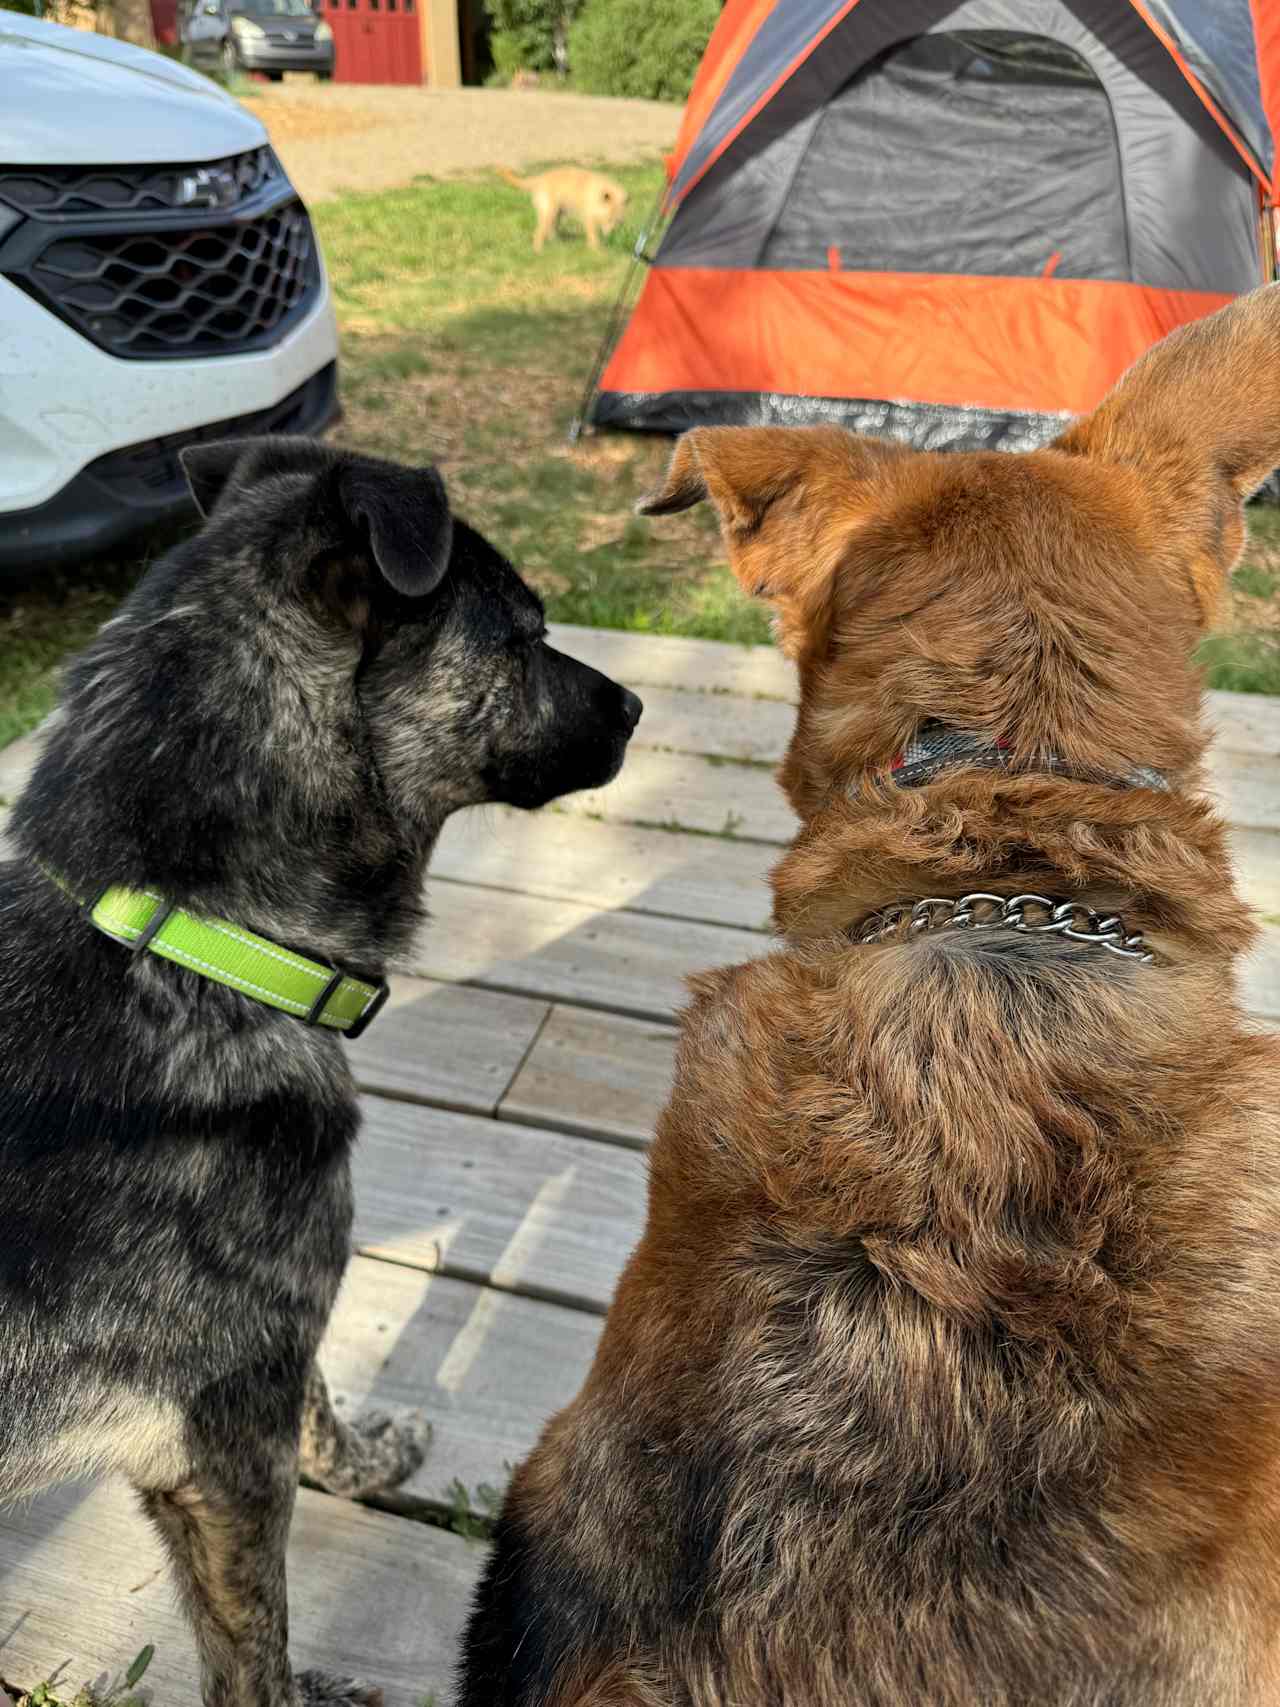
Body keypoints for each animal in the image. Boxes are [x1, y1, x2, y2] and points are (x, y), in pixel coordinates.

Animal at [0, 433, 641, 1700]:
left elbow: (323, 1405)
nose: (640, 703)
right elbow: (255, 1645)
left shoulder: (262, 1370)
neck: (185, 947)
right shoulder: (224, 1451)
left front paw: (375, 1457)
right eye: (524, 633)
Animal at [498, 168, 628, 254]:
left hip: (556, 214)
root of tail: (538, 179)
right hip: (549, 212)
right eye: (608, 218)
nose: (610, 234)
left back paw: (558, 244)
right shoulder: (589, 219)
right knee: (538, 233)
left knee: (550, 230)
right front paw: (596, 250)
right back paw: (538, 251)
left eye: (619, 222)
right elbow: (593, 237)